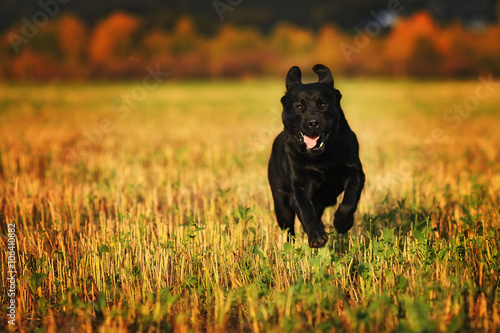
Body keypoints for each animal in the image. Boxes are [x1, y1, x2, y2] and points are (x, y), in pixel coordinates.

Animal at [268, 64, 366, 246]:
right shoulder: (298, 187)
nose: (313, 123)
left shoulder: (355, 171)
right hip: (281, 203)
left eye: (323, 104)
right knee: (289, 228)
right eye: (299, 106)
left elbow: (350, 199)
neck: (321, 159)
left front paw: (342, 222)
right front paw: (316, 237)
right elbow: (306, 212)